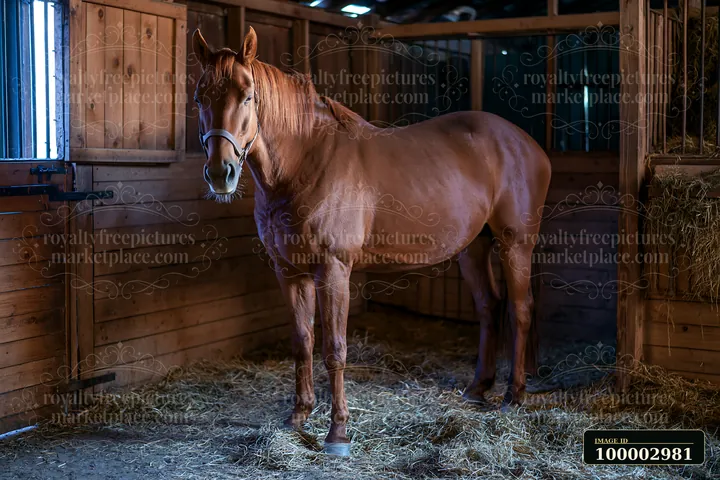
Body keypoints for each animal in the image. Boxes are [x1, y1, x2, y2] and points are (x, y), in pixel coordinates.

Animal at [192, 27, 551, 456]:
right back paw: (477, 389)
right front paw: (298, 417)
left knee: (521, 309)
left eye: (248, 96)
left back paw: (514, 396)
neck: (305, 161)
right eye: (199, 97)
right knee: (489, 306)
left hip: (516, 244)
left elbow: (334, 349)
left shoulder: (333, 270)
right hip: (473, 248)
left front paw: (338, 434)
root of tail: (528, 144)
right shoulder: (289, 272)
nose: (220, 173)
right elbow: (302, 342)